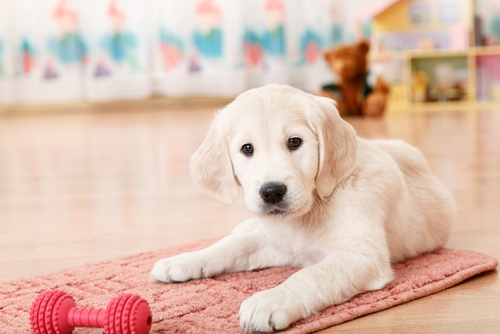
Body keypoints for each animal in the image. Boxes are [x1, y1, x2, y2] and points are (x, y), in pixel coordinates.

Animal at [149, 84, 458, 332]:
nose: (272, 192)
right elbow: (232, 246)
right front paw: (185, 260)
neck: (313, 206)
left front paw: (270, 300)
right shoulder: (279, 244)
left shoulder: (362, 256)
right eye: (247, 149)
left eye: (294, 142)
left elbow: (311, 275)